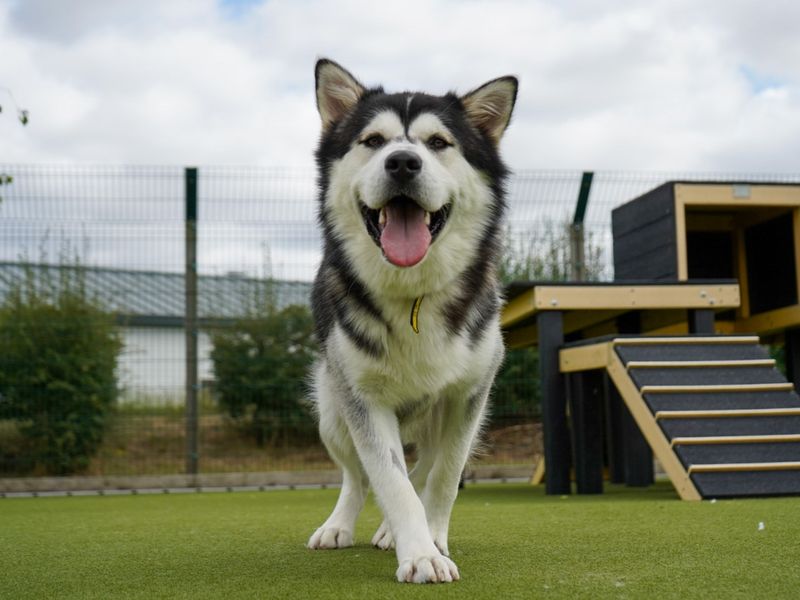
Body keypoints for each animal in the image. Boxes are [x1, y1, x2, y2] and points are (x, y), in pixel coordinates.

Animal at [306, 58, 520, 584]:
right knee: (357, 475)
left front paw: (433, 540)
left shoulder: (469, 396)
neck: (413, 293)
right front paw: (420, 553)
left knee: (422, 466)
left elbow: (442, 475)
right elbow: (389, 477)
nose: (403, 162)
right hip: (330, 412)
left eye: (438, 143)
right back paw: (341, 526)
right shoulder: (361, 399)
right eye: (373, 140)